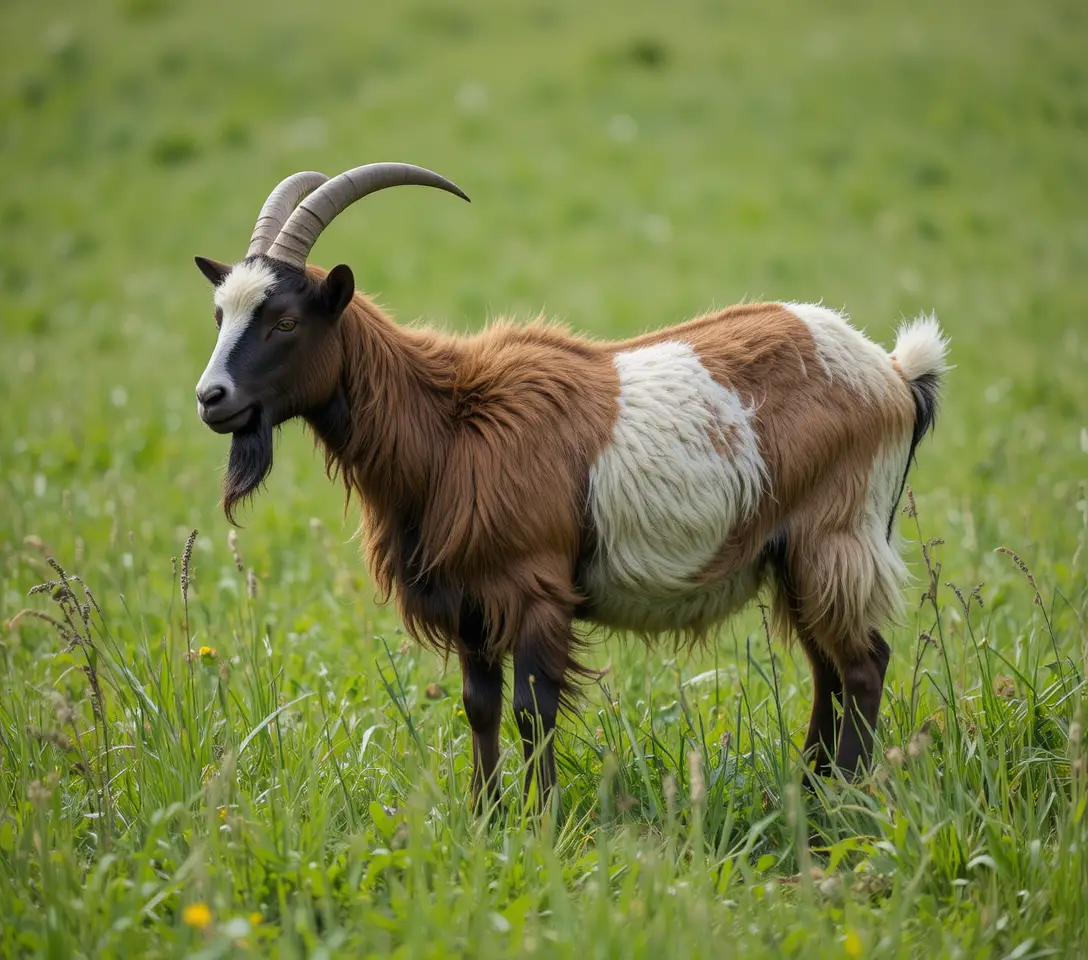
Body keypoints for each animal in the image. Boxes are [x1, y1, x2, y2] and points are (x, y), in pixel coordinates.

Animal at [193, 162, 948, 806]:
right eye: (220, 315)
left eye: (286, 320)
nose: (210, 398)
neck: (449, 425)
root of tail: (894, 374)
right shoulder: (470, 599)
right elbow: (480, 706)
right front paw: (486, 817)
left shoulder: (534, 586)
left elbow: (534, 710)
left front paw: (547, 823)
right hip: (791, 555)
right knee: (828, 667)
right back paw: (810, 789)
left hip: (836, 534)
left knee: (863, 662)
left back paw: (841, 803)